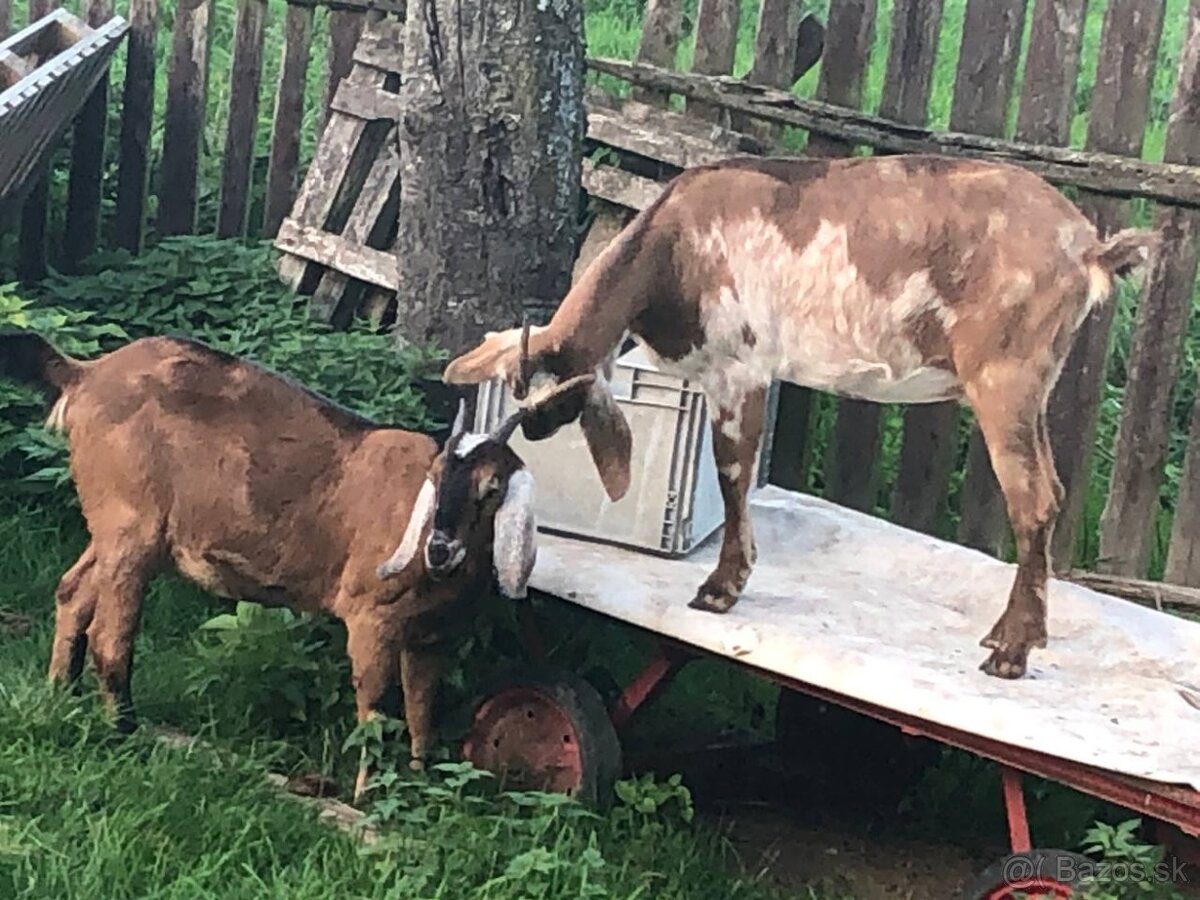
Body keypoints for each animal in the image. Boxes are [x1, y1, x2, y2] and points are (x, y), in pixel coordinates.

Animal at [0, 336, 590, 801]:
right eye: (436, 475)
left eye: (492, 489)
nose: (439, 549)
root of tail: (86, 374)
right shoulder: (372, 617)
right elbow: (377, 708)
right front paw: (369, 797)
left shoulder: (431, 637)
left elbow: (422, 710)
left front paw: (419, 789)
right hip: (132, 528)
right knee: (111, 630)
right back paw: (122, 725)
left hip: (113, 528)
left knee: (72, 591)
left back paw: (61, 694)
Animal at [446, 154, 1156, 681]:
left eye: (549, 405)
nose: (537, 430)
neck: (674, 241)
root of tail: (1089, 249)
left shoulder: (742, 368)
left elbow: (733, 471)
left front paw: (721, 588)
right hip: (1031, 386)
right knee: (1053, 490)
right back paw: (1016, 635)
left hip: (1004, 376)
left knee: (1033, 500)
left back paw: (1011, 652)